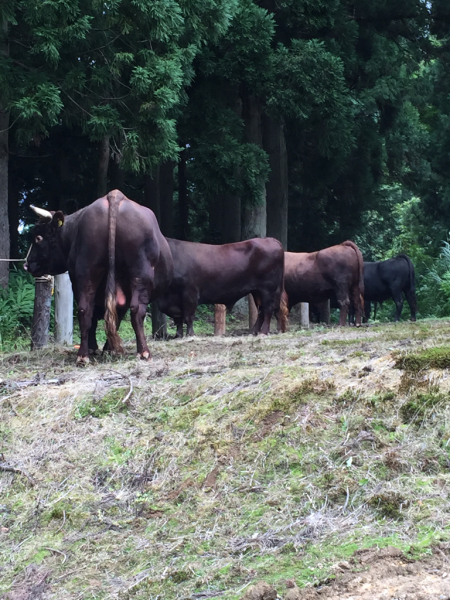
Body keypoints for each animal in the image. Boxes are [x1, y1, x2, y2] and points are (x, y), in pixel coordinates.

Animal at [23, 190, 173, 364]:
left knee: (85, 309)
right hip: (140, 272)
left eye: (38, 238)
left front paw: (102, 348)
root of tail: (114, 195)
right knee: (136, 309)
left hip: (86, 271)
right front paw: (109, 348)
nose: (26, 264)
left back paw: (83, 355)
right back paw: (143, 352)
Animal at [156, 236, 286, 338]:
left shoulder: (189, 293)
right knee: (261, 311)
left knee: (268, 309)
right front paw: (178, 335)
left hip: (268, 289)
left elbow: (188, 316)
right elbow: (178, 319)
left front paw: (190, 334)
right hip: (257, 291)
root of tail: (270, 239)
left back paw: (263, 332)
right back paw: (253, 332)